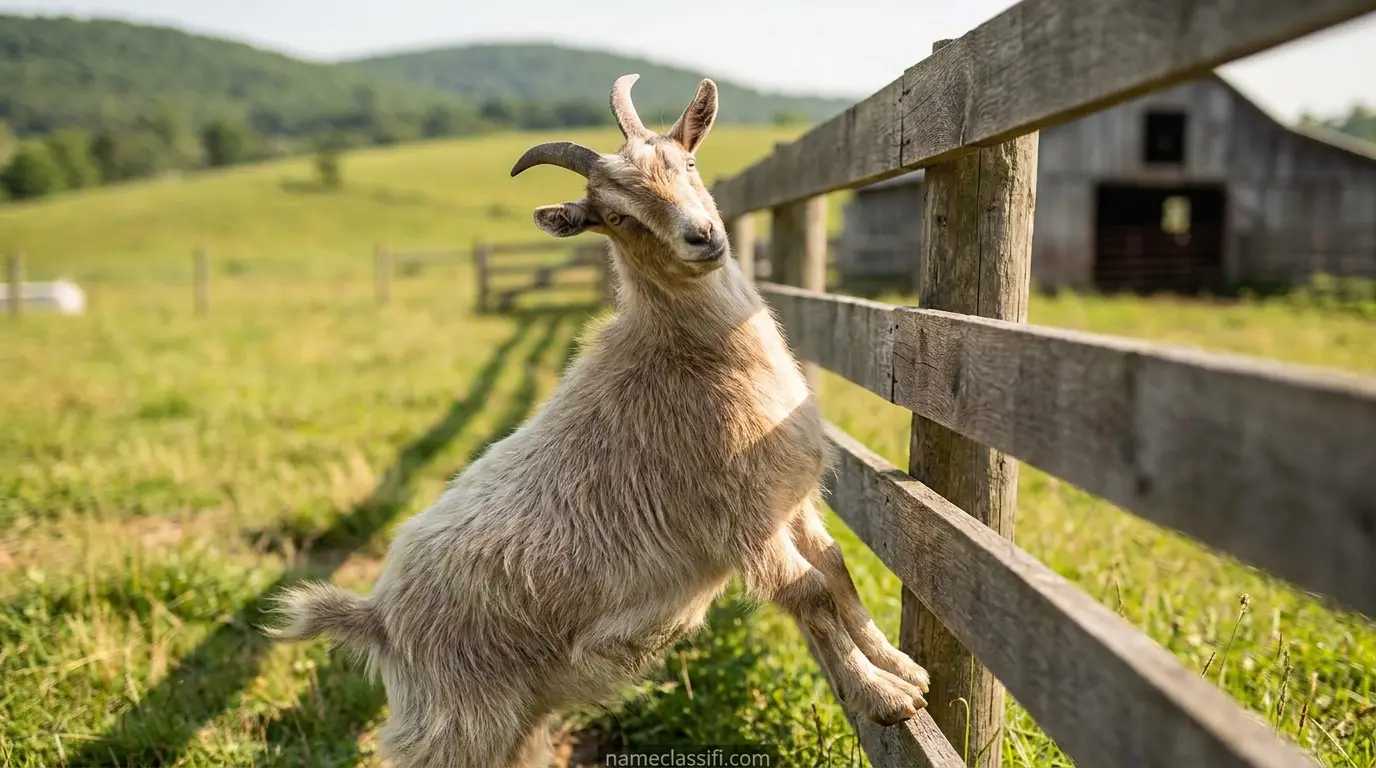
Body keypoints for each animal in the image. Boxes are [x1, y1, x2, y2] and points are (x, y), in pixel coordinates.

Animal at [265, 74, 929, 768]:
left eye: (687, 164)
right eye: (616, 216)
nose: (702, 237)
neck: (683, 355)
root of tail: (376, 615)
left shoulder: (786, 500)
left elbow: (838, 571)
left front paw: (902, 667)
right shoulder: (737, 517)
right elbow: (810, 593)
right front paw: (885, 697)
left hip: (516, 720)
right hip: (457, 723)